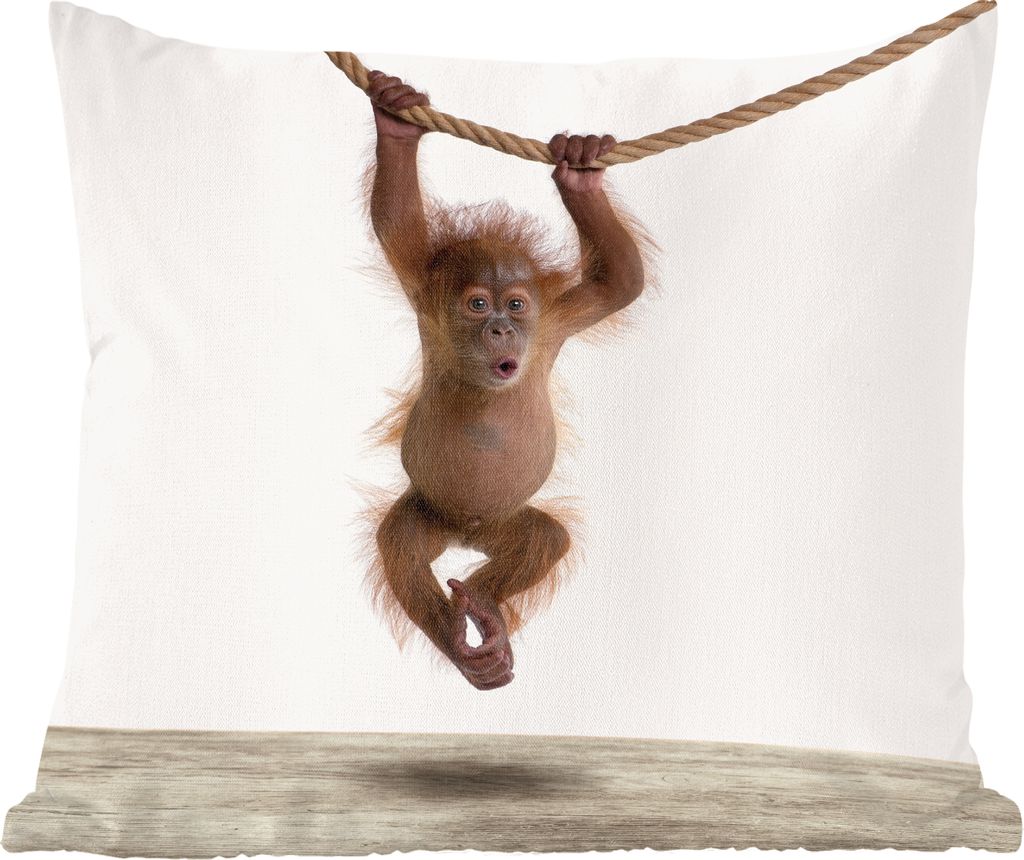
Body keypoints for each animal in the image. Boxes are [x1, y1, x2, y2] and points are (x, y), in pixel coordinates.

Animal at [363, 70, 646, 690]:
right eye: (476, 304)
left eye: (516, 304)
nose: (500, 328)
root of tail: (466, 533)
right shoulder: (427, 294)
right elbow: (395, 219)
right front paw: (395, 122)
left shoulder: (556, 320)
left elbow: (620, 281)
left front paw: (581, 169)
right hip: (431, 511)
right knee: (401, 545)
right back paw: (462, 642)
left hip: (503, 524)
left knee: (544, 538)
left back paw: (484, 607)